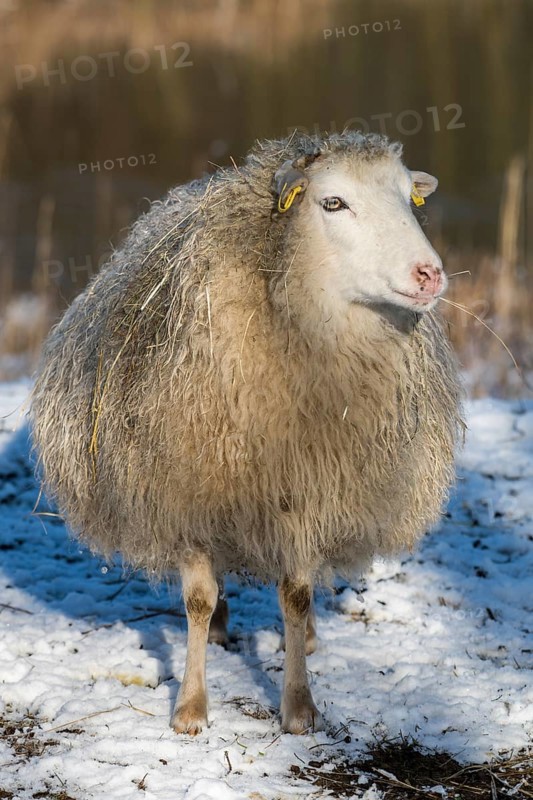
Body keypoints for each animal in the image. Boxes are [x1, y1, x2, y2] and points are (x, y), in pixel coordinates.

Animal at [31, 131, 464, 736]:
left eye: (409, 197)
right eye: (333, 203)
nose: (429, 274)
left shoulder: (310, 491)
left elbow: (297, 595)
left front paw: (299, 707)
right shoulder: (184, 492)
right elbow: (197, 599)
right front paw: (190, 708)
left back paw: (305, 636)